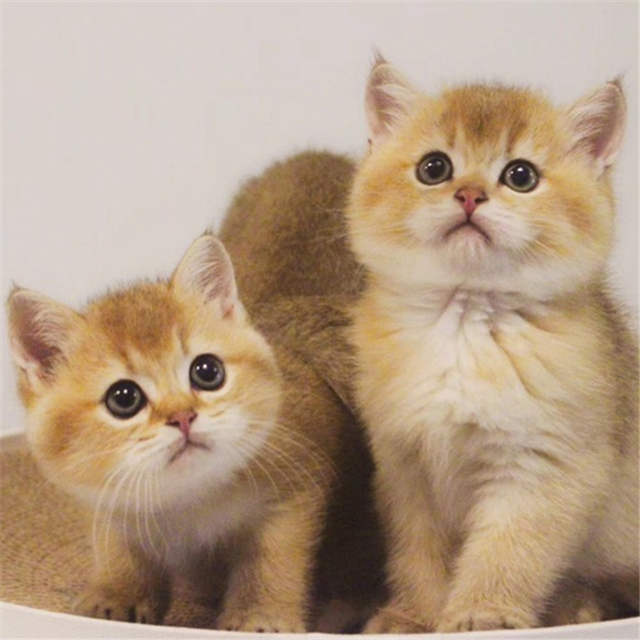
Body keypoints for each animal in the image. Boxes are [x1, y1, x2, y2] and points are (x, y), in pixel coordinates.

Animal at [7, 179, 383, 632]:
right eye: (123, 398)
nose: (183, 417)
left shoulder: (295, 488)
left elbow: (272, 559)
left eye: (207, 372)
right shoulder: (107, 502)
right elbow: (118, 550)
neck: (187, 501)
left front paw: (260, 614)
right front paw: (116, 596)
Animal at [346, 55, 638, 632]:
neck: (465, 332)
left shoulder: (542, 468)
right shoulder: (406, 468)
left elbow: (507, 552)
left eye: (520, 176)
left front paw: (483, 613)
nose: (470, 196)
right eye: (434, 168)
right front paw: (415, 616)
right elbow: (416, 554)